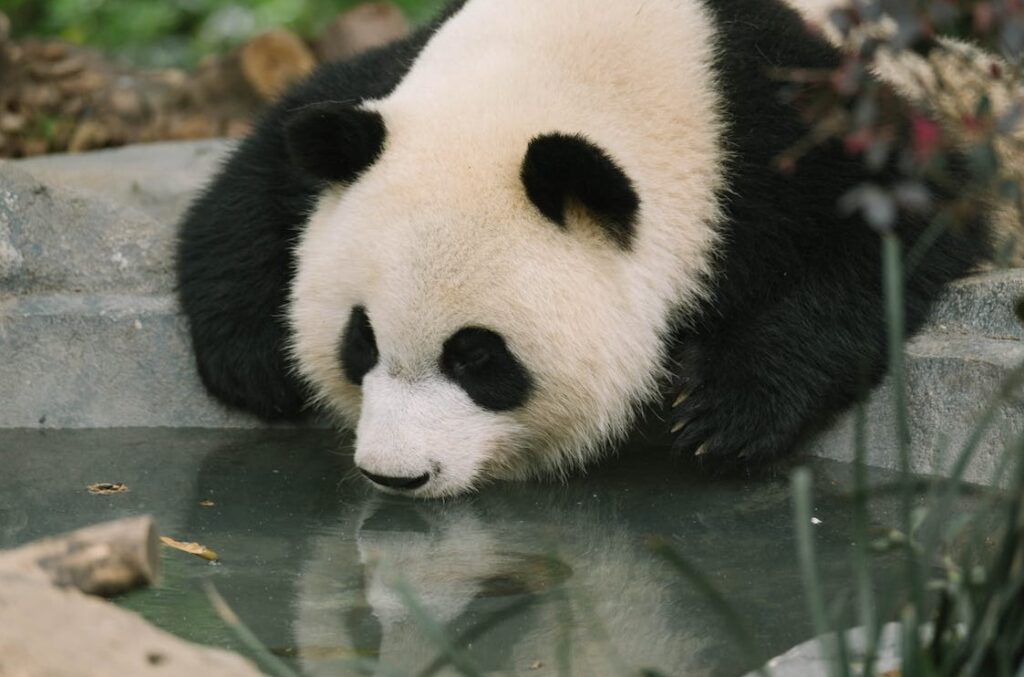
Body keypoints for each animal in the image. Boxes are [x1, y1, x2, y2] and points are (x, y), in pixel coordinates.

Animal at [177, 0, 1006, 498]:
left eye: (477, 357)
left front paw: (724, 413)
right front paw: (253, 361)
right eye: (361, 341)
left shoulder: (773, 122)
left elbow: (897, 222)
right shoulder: (390, 80)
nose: (397, 475)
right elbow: (273, 152)